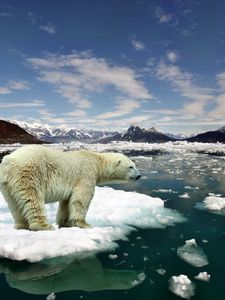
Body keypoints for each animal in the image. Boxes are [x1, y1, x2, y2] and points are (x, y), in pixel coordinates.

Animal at [0, 146, 141, 231]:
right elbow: (81, 198)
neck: (97, 160)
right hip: (29, 173)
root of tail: (8, 161)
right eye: (131, 167)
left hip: (7, 185)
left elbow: (66, 202)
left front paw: (65, 223)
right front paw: (84, 224)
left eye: (134, 165)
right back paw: (44, 225)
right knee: (33, 199)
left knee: (14, 205)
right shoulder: (85, 174)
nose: (139, 176)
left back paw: (21, 225)